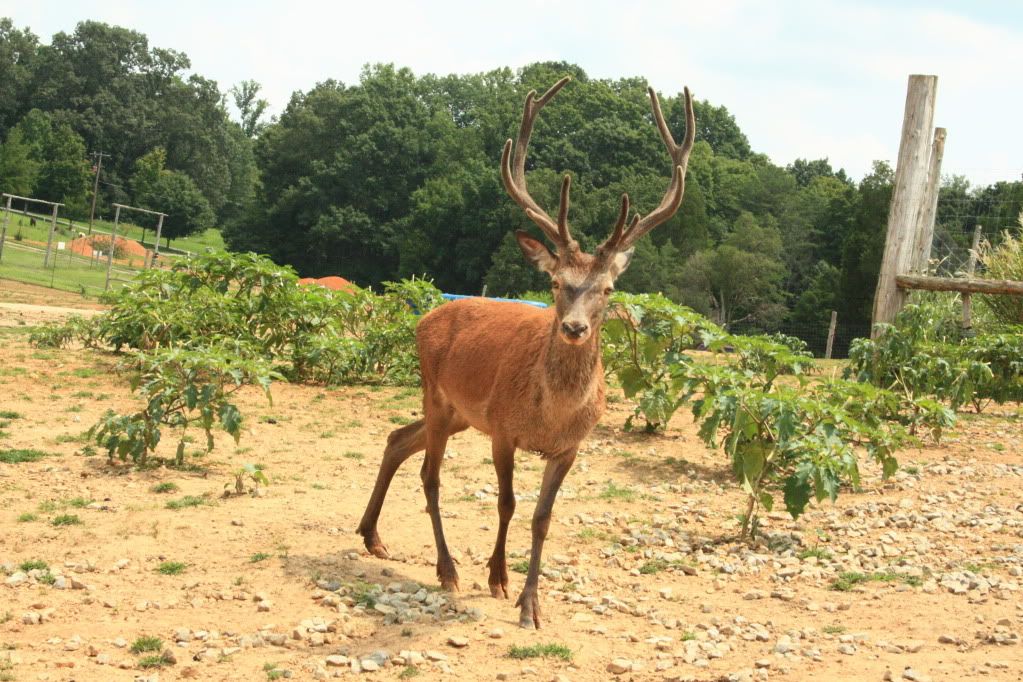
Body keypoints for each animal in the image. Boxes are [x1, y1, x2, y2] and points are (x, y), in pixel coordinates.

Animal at [353, 76, 695, 629]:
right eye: (555, 282)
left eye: (608, 289)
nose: (574, 327)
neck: (549, 416)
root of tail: (426, 317)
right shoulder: (502, 428)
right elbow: (507, 503)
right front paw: (497, 577)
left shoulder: (571, 446)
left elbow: (541, 517)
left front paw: (530, 603)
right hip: (436, 393)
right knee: (430, 474)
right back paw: (446, 568)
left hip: (458, 413)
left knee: (398, 438)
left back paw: (372, 536)